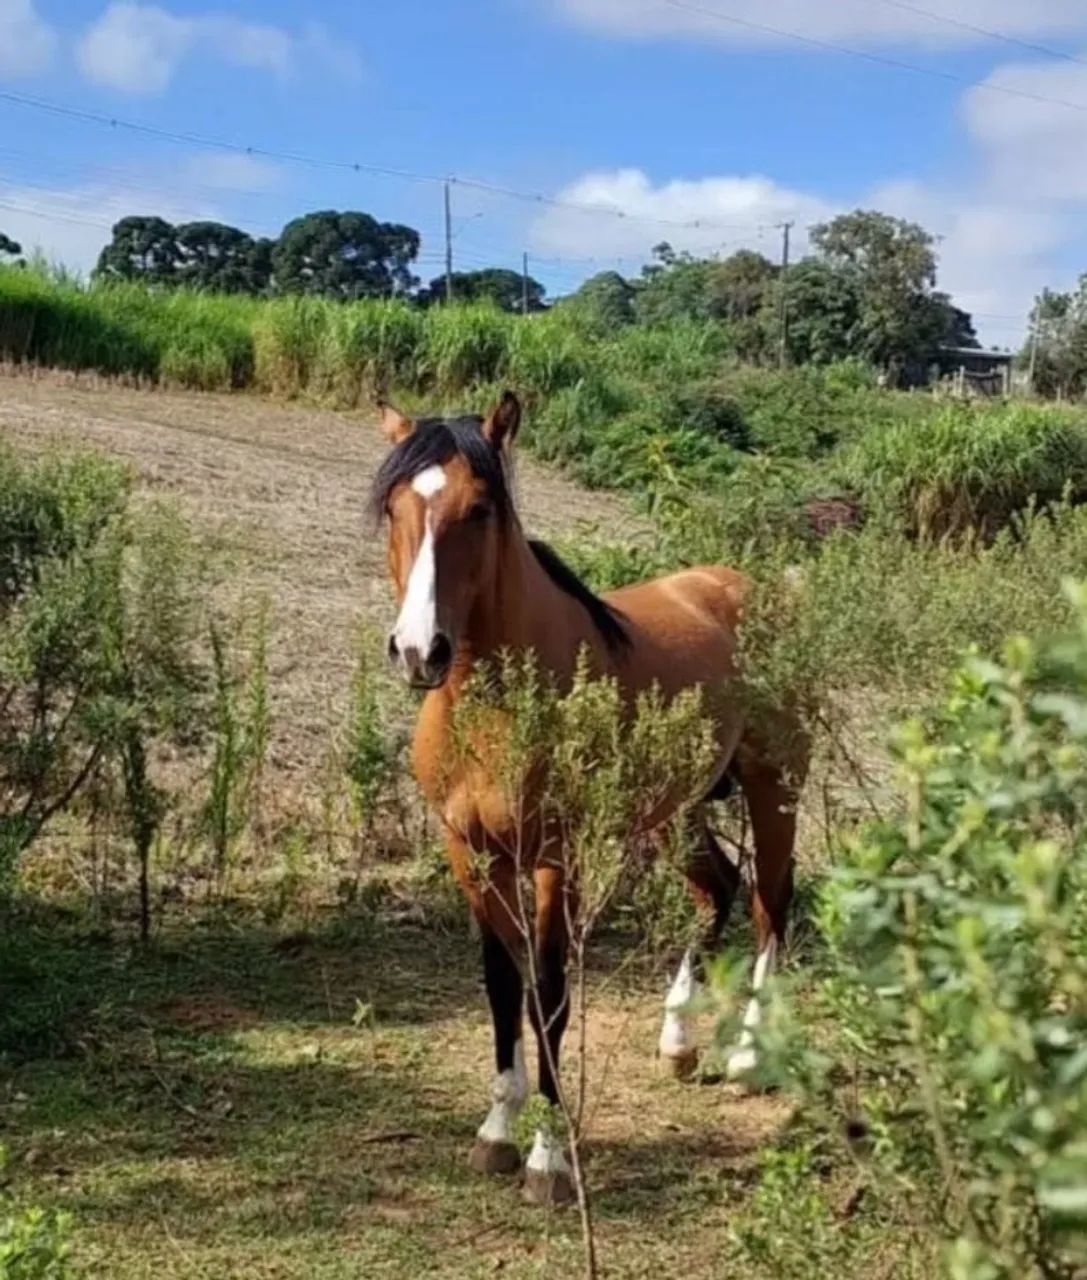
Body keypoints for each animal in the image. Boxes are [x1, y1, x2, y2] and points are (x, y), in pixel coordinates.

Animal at [371, 391, 808, 1205]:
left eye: (480, 509)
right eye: (392, 507)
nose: (420, 651)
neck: (493, 708)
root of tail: (744, 587)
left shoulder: (555, 856)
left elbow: (547, 992)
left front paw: (549, 1156)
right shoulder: (471, 853)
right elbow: (501, 983)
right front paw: (497, 1130)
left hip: (776, 790)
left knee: (770, 908)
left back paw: (745, 1057)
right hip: (677, 809)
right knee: (719, 889)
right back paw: (677, 1041)